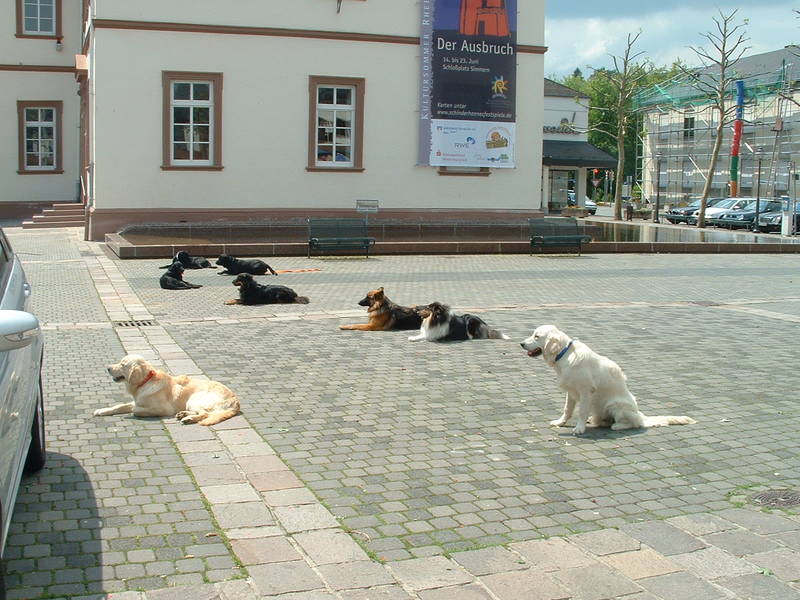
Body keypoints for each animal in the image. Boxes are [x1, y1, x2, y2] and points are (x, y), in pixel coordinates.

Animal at [94, 354, 240, 426]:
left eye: (122, 364)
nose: (107, 368)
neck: (146, 381)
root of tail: (235, 400)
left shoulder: (163, 409)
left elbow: (136, 410)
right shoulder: (137, 400)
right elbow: (119, 406)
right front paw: (102, 411)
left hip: (195, 399)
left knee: (205, 414)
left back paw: (189, 419)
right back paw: (184, 414)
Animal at [521, 325, 696, 435]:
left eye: (537, 336)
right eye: (532, 334)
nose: (521, 343)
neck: (564, 354)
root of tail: (640, 414)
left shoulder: (586, 391)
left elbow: (582, 411)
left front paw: (579, 428)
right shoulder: (571, 391)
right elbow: (567, 410)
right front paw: (560, 422)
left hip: (616, 405)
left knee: (634, 423)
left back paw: (617, 425)